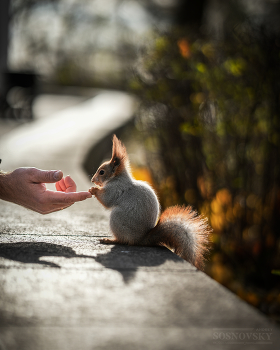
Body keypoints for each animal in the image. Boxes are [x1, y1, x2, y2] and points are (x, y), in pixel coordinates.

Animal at [88, 135, 211, 270]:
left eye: (102, 172)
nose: (92, 180)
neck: (117, 177)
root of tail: (141, 239)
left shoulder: (116, 189)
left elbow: (107, 200)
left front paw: (94, 190)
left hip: (117, 219)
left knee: (124, 241)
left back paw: (110, 240)